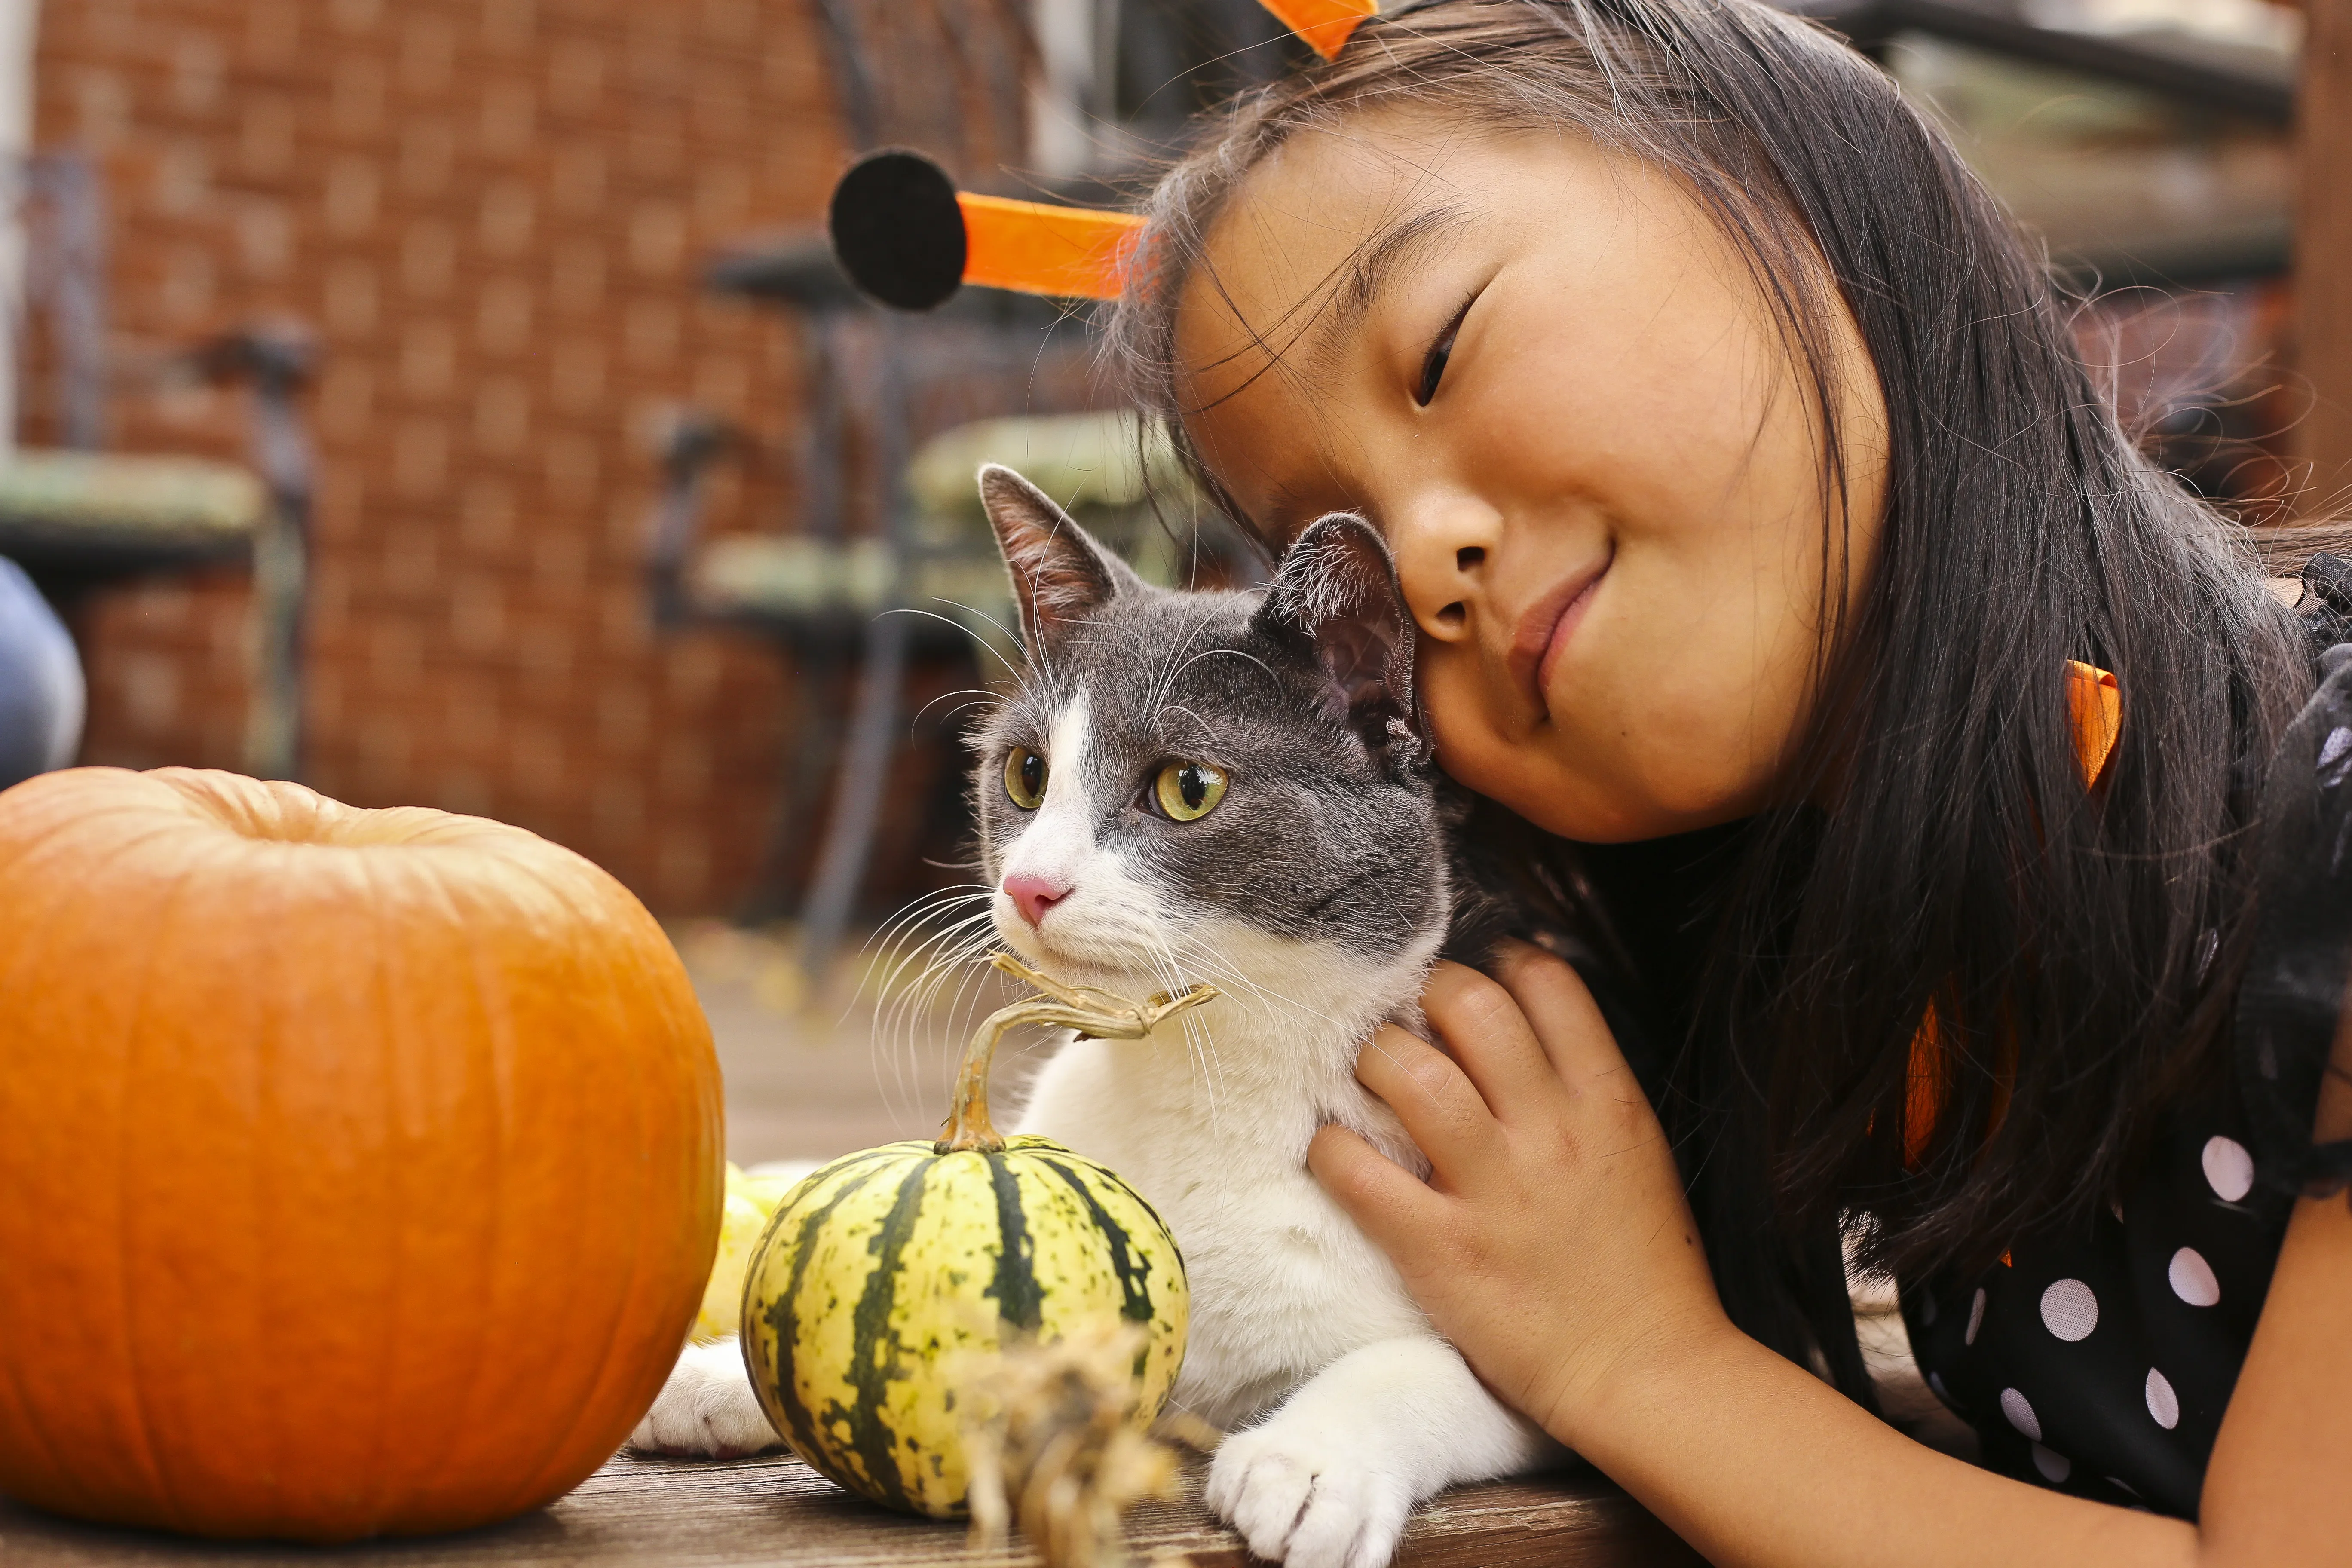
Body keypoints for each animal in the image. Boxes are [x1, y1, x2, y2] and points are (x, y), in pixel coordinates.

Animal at [644, 465, 1562, 1568]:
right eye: (1025, 773)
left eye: (1187, 788)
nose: (1030, 885)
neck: (1208, 1069)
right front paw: (717, 1373)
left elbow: (1461, 1369)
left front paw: (1307, 1464)